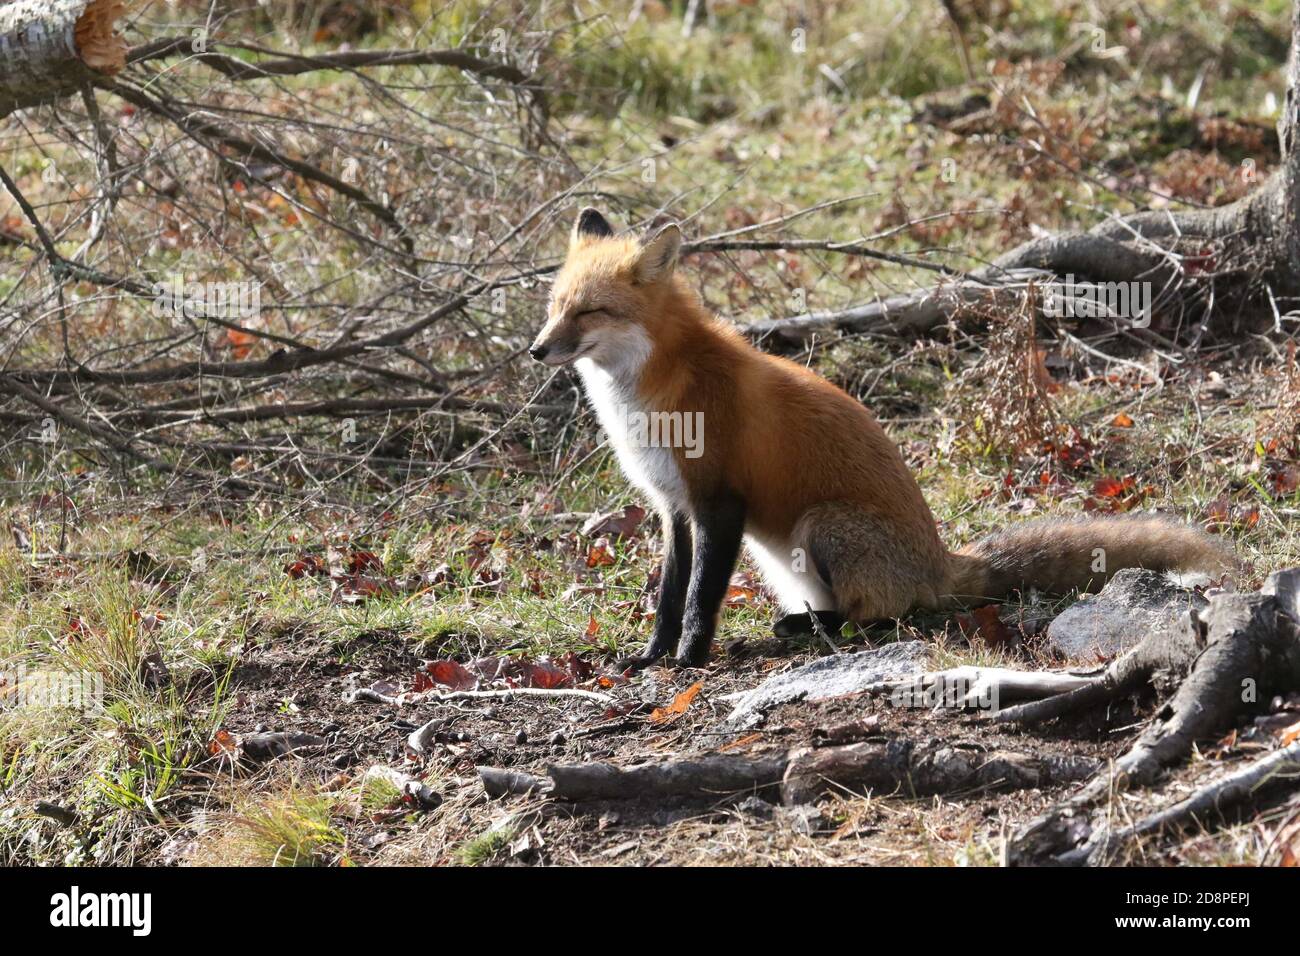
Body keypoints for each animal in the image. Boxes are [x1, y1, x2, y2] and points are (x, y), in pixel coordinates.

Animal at [530, 207, 1235, 669]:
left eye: (589, 311)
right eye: (555, 305)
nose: (536, 350)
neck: (650, 395)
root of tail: (942, 560)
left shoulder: (719, 503)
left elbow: (701, 598)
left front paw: (688, 662)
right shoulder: (674, 508)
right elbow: (669, 596)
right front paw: (650, 657)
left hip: (820, 525)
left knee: (880, 613)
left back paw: (815, 628)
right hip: (777, 551)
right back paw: (800, 623)